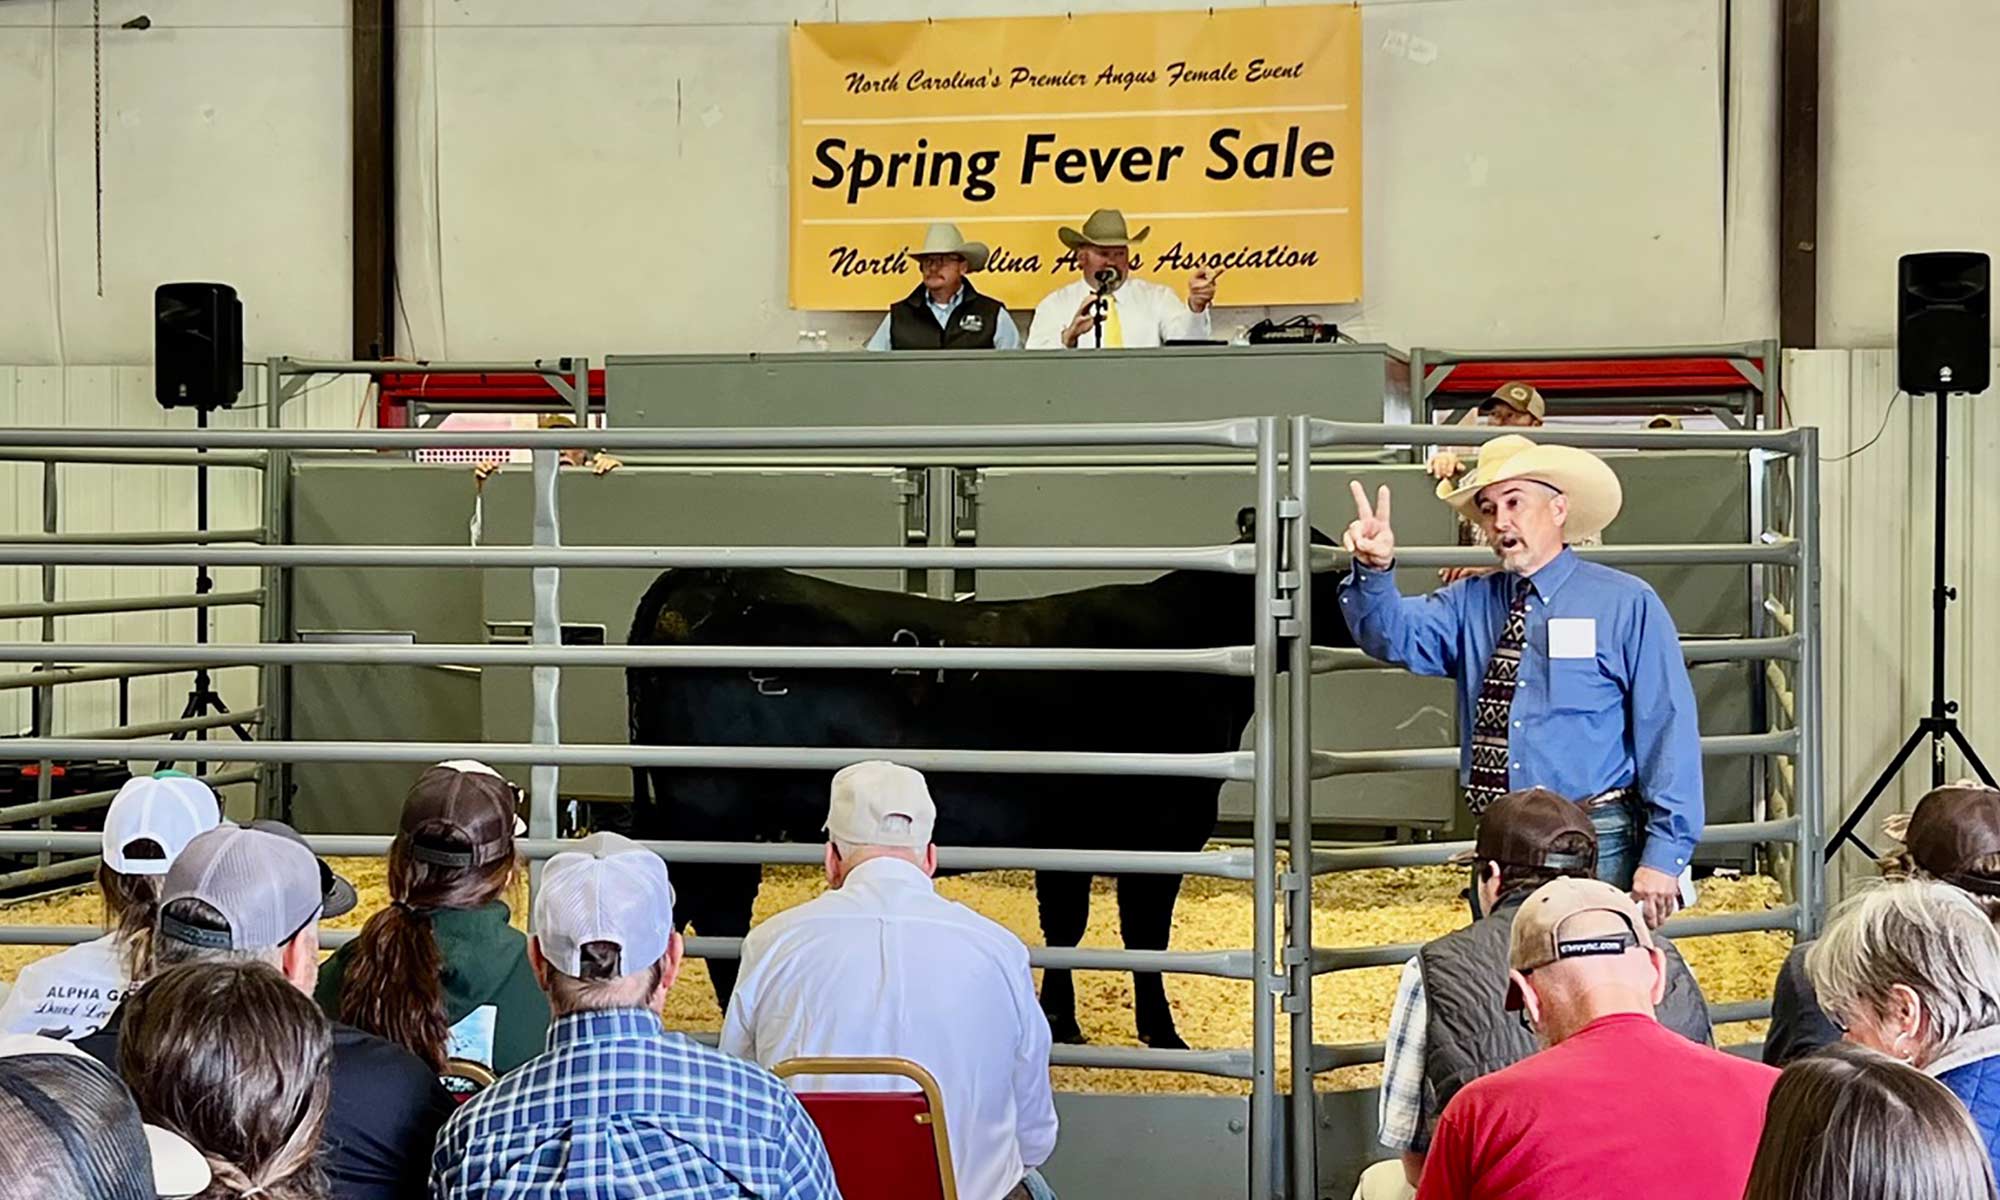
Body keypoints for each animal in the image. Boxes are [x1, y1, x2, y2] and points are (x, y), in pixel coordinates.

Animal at [616, 508, 1352, 1048]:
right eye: (1332, 567)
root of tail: (700, 583)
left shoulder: (1069, 839)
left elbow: (1065, 928)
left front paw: (1062, 1023)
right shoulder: (1166, 828)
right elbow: (1143, 933)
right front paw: (1162, 1035)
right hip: (714, 809)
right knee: (716, 913)